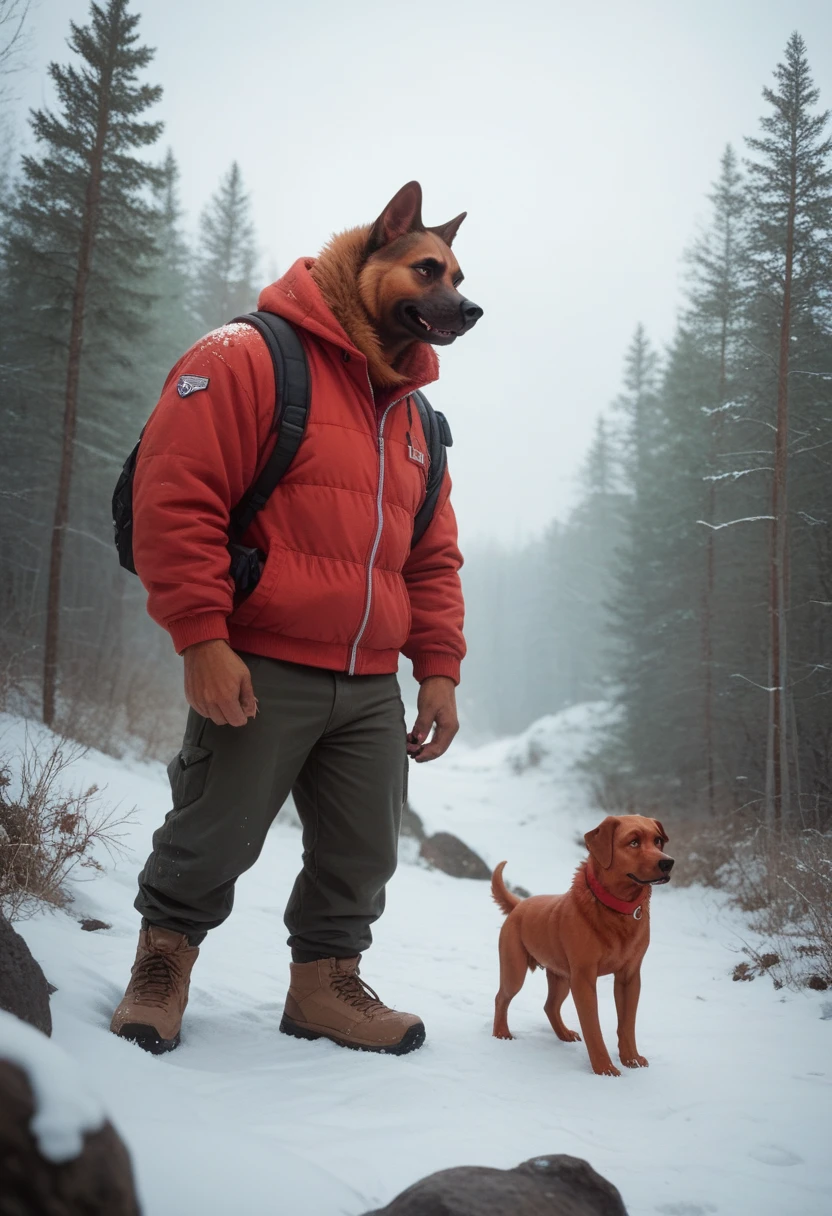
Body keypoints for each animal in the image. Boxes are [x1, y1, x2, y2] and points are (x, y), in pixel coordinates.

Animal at [491, 817, 671, 1074]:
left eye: (657, 840)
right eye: (634, 842)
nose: (668, 863)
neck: (616, 910)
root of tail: (519, 905)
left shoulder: (629, 978)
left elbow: (627, 1025)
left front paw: (631, 1060)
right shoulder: (584, 979)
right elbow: (593, 1028)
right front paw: (605, 1069)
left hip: (561, 977)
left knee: (550, 1006)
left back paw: (564, 1034)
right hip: (515, 971)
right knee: (501, 998)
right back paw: (501, 1033)